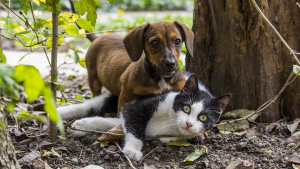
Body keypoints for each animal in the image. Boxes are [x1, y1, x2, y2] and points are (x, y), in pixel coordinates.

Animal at [57, 72, 231, 161]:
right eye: (186, 108)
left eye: (203, 118)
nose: (189, 124)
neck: (171, 122)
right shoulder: (137, 106)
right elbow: (135, 127)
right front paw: (133, 150)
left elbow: (110, 122)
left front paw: (80, 126)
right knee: (90, 105)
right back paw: (58, 113)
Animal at [58, 20, 195, 119]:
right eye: (154, 42)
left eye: (177, 41)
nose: (170, 64)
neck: (160, 78)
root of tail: (97, 38)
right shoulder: (126, 94)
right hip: (93, 77)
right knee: (95, 93)